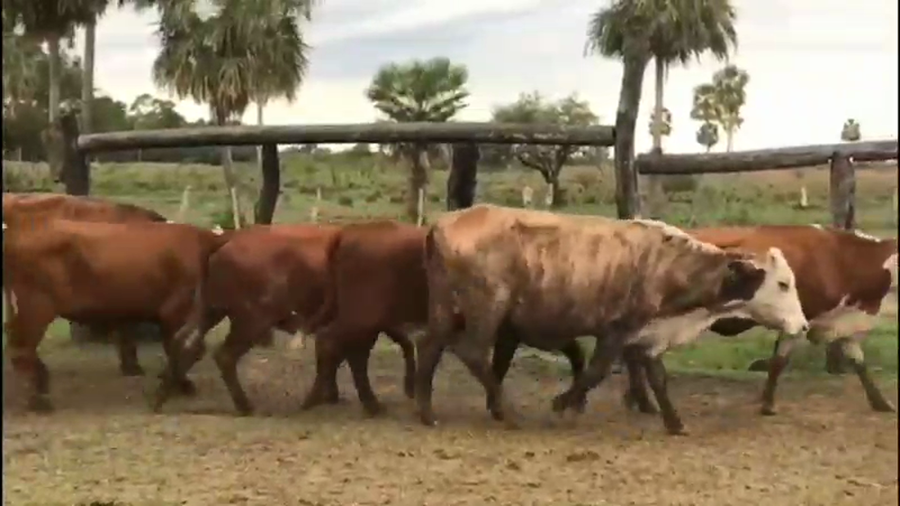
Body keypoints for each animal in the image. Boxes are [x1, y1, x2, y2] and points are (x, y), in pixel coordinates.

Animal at [2, 219, 230, 412]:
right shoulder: (175, 311)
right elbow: (183, 349)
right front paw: (180, 385)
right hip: (36, 307)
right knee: (21, 348)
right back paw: (38, 399)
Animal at [416, 204, 809, 434]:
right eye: (783, 283)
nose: (803, 326)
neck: (668, 265)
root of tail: (442, 224)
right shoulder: (616, 331)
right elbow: (595, 372)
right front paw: (563, 404)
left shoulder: (648, 337)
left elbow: (658, 379)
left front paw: (675, 423)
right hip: (487, 308)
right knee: (472, 353)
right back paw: (507, 410)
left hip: (443, 309)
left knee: (431, 347)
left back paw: (427, 412)